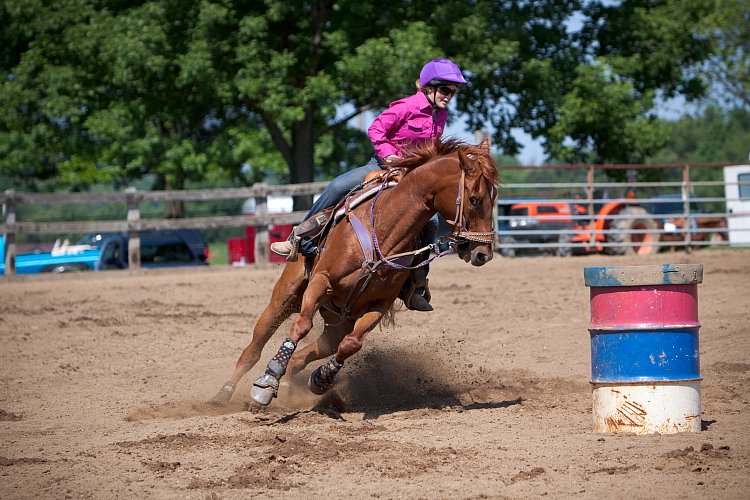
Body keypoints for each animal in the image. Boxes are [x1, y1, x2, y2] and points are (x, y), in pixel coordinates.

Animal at [213, 137, 500, 406]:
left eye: (494, 197)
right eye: (474, 199)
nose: (483, 253)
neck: (383, 230)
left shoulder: (378, 305)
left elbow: (352, 344)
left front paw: (321, 378)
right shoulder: (321, 281)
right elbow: (301, 325)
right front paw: (267, 380)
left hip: (338, 322)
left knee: (307, 354)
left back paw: (287, 388)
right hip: (285, 298)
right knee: (254, 348)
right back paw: (224, 393)